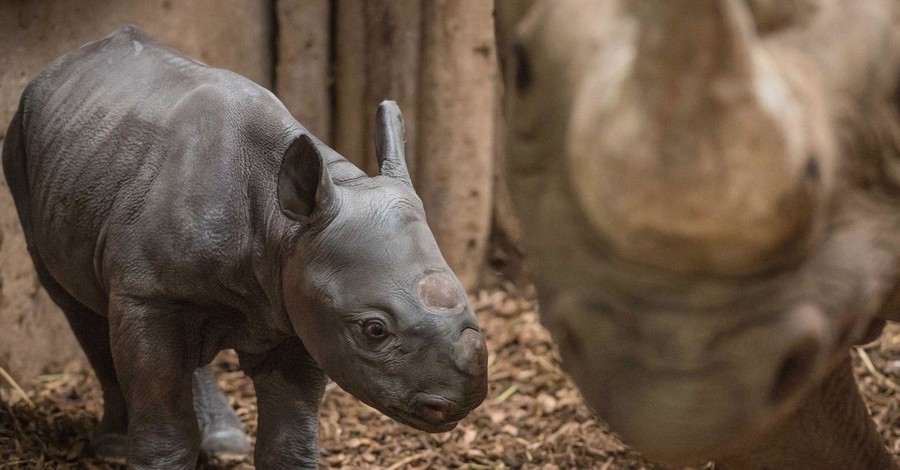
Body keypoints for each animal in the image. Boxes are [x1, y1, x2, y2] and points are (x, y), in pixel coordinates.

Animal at [3, 26, 488, 470]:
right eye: (374, 330)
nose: (461, 401)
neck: (284, 226)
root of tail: (66, 61)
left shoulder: (299, 297)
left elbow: (289, 439)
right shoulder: (148, 291)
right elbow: (164, 426)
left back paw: (223, 442)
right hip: (20, 140)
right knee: (77, 304)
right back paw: (114, 446)